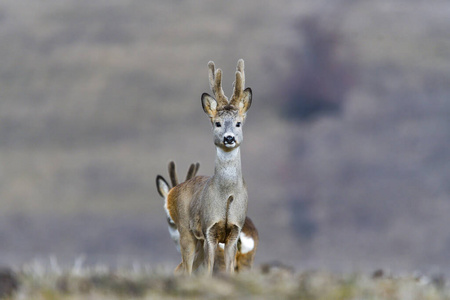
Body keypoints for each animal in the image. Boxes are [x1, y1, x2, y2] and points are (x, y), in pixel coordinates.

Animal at [164, 58, 251, 274]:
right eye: (217, 123)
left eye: (238, 123)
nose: (229, 138)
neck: (227, 196)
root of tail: (173, 191)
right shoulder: (209, 230)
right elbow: (209, 271)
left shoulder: (234, 231)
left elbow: (229, 271)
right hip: (186, 232)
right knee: (186, 269)